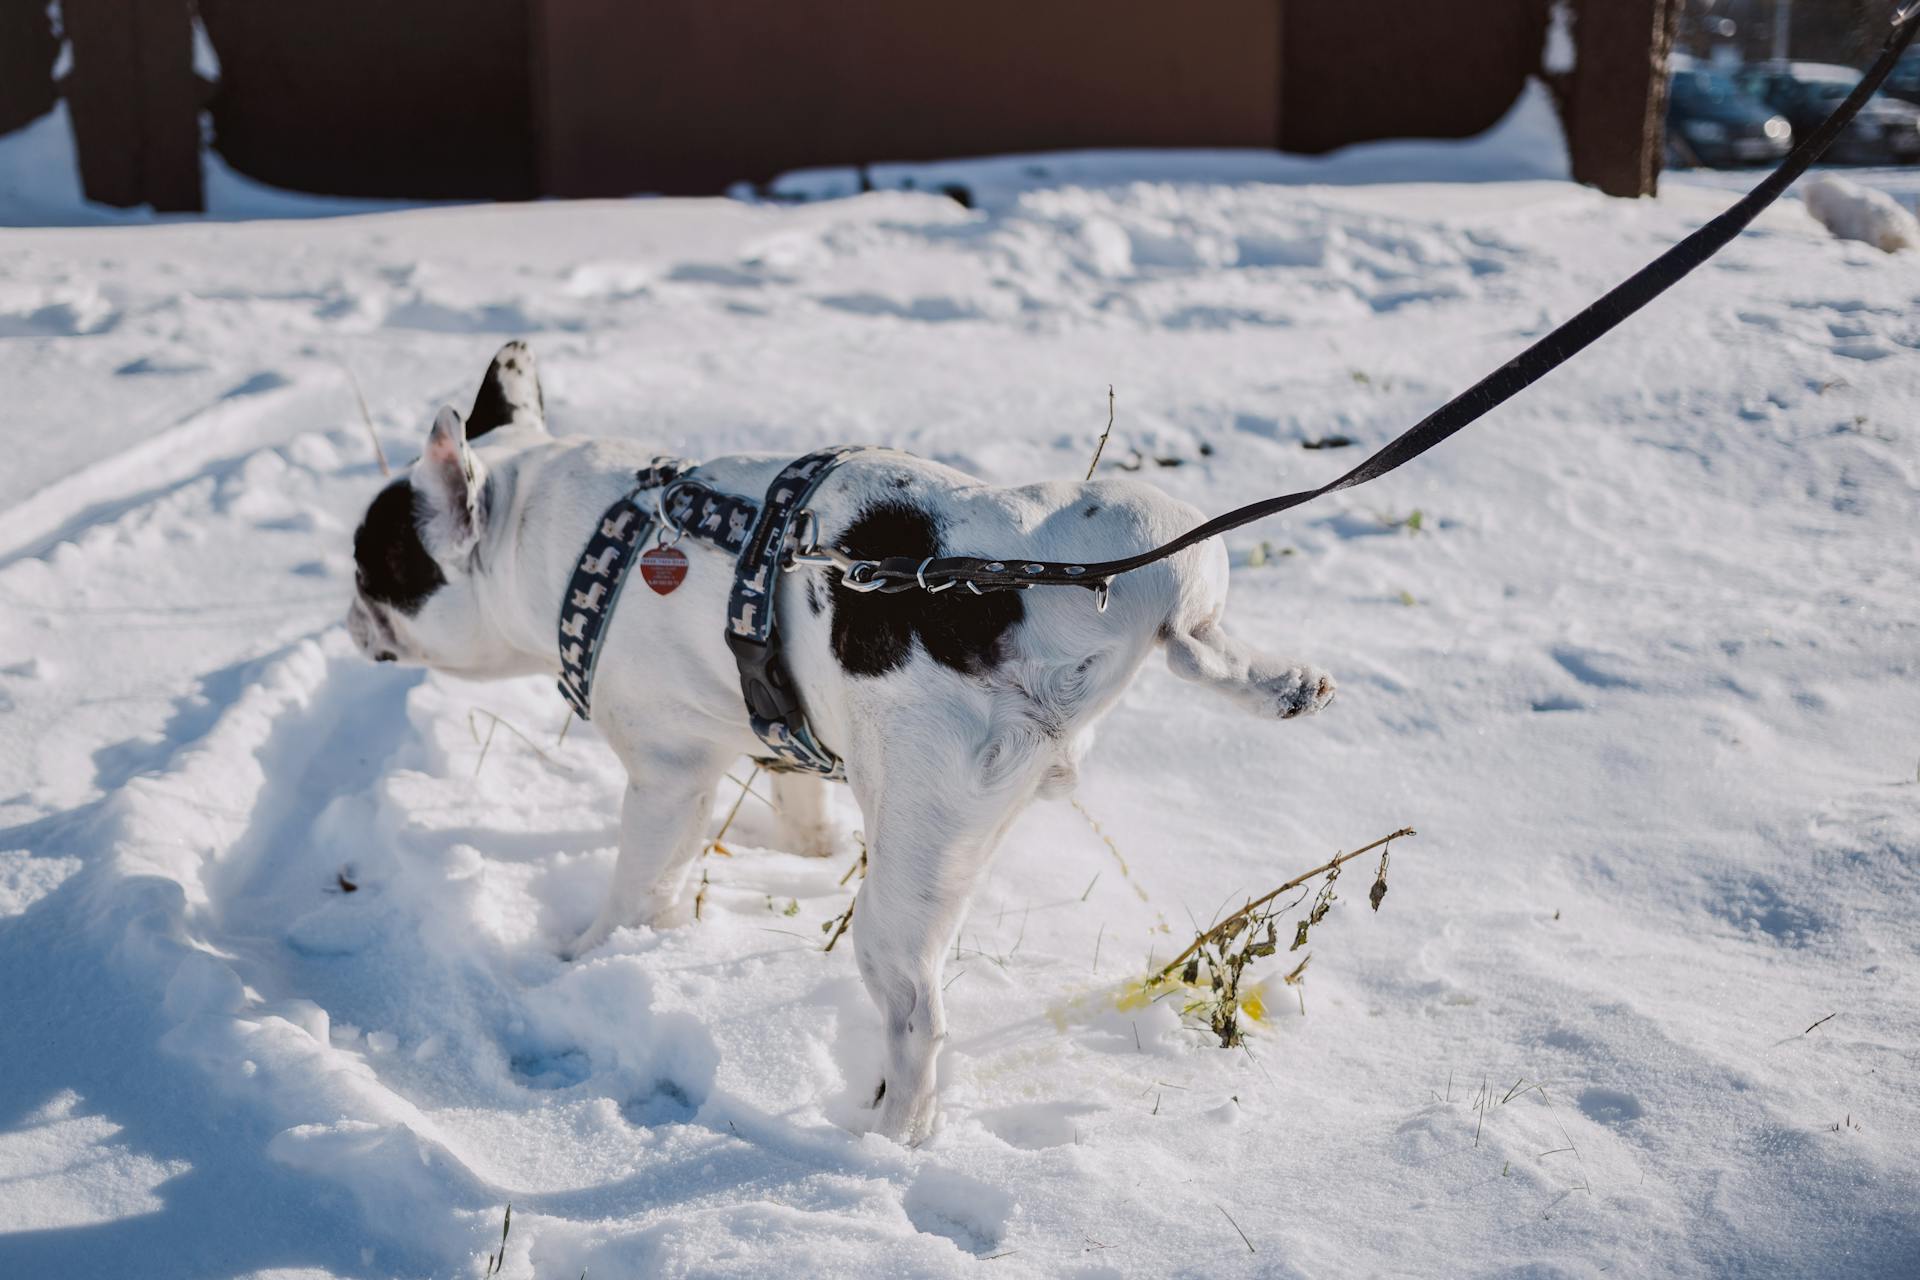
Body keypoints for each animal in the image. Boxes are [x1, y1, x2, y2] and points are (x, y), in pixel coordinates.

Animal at [349, 343, 1336, 1143]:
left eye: (373, 568)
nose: (349, 613)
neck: (573, 534)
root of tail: (1024, 606)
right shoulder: (780, 720)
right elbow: (799, 798)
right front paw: (806, 847)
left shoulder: (668, 774)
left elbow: (639, 885)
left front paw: (587, 955)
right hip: (1152, 532)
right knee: (1198, 634)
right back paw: (1284, 685)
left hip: (912, 848)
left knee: (917, 1015)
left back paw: (886, 1137)